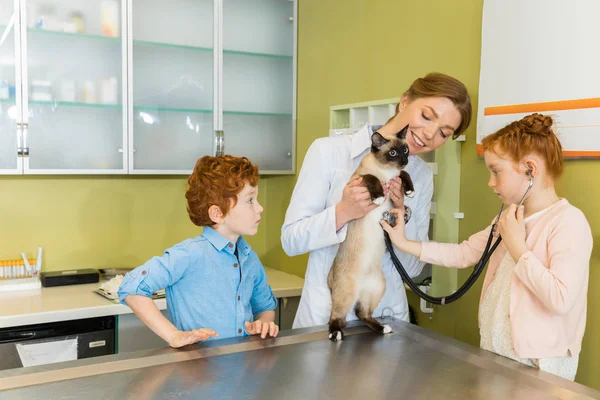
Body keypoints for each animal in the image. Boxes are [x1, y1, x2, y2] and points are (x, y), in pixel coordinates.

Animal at [328, 125, 412, 340]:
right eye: (392, 153)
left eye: (405, 149)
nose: (404, 160)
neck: (387, 172)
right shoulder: (358, 181)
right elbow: (371, 178)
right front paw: (379, 196)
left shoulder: (397, 177)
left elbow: (403, 175)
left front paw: (409, 190)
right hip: (346, 294)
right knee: (336, 316)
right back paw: (336, 333)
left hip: (376, 289)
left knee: (362, 313)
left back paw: (383, 328)